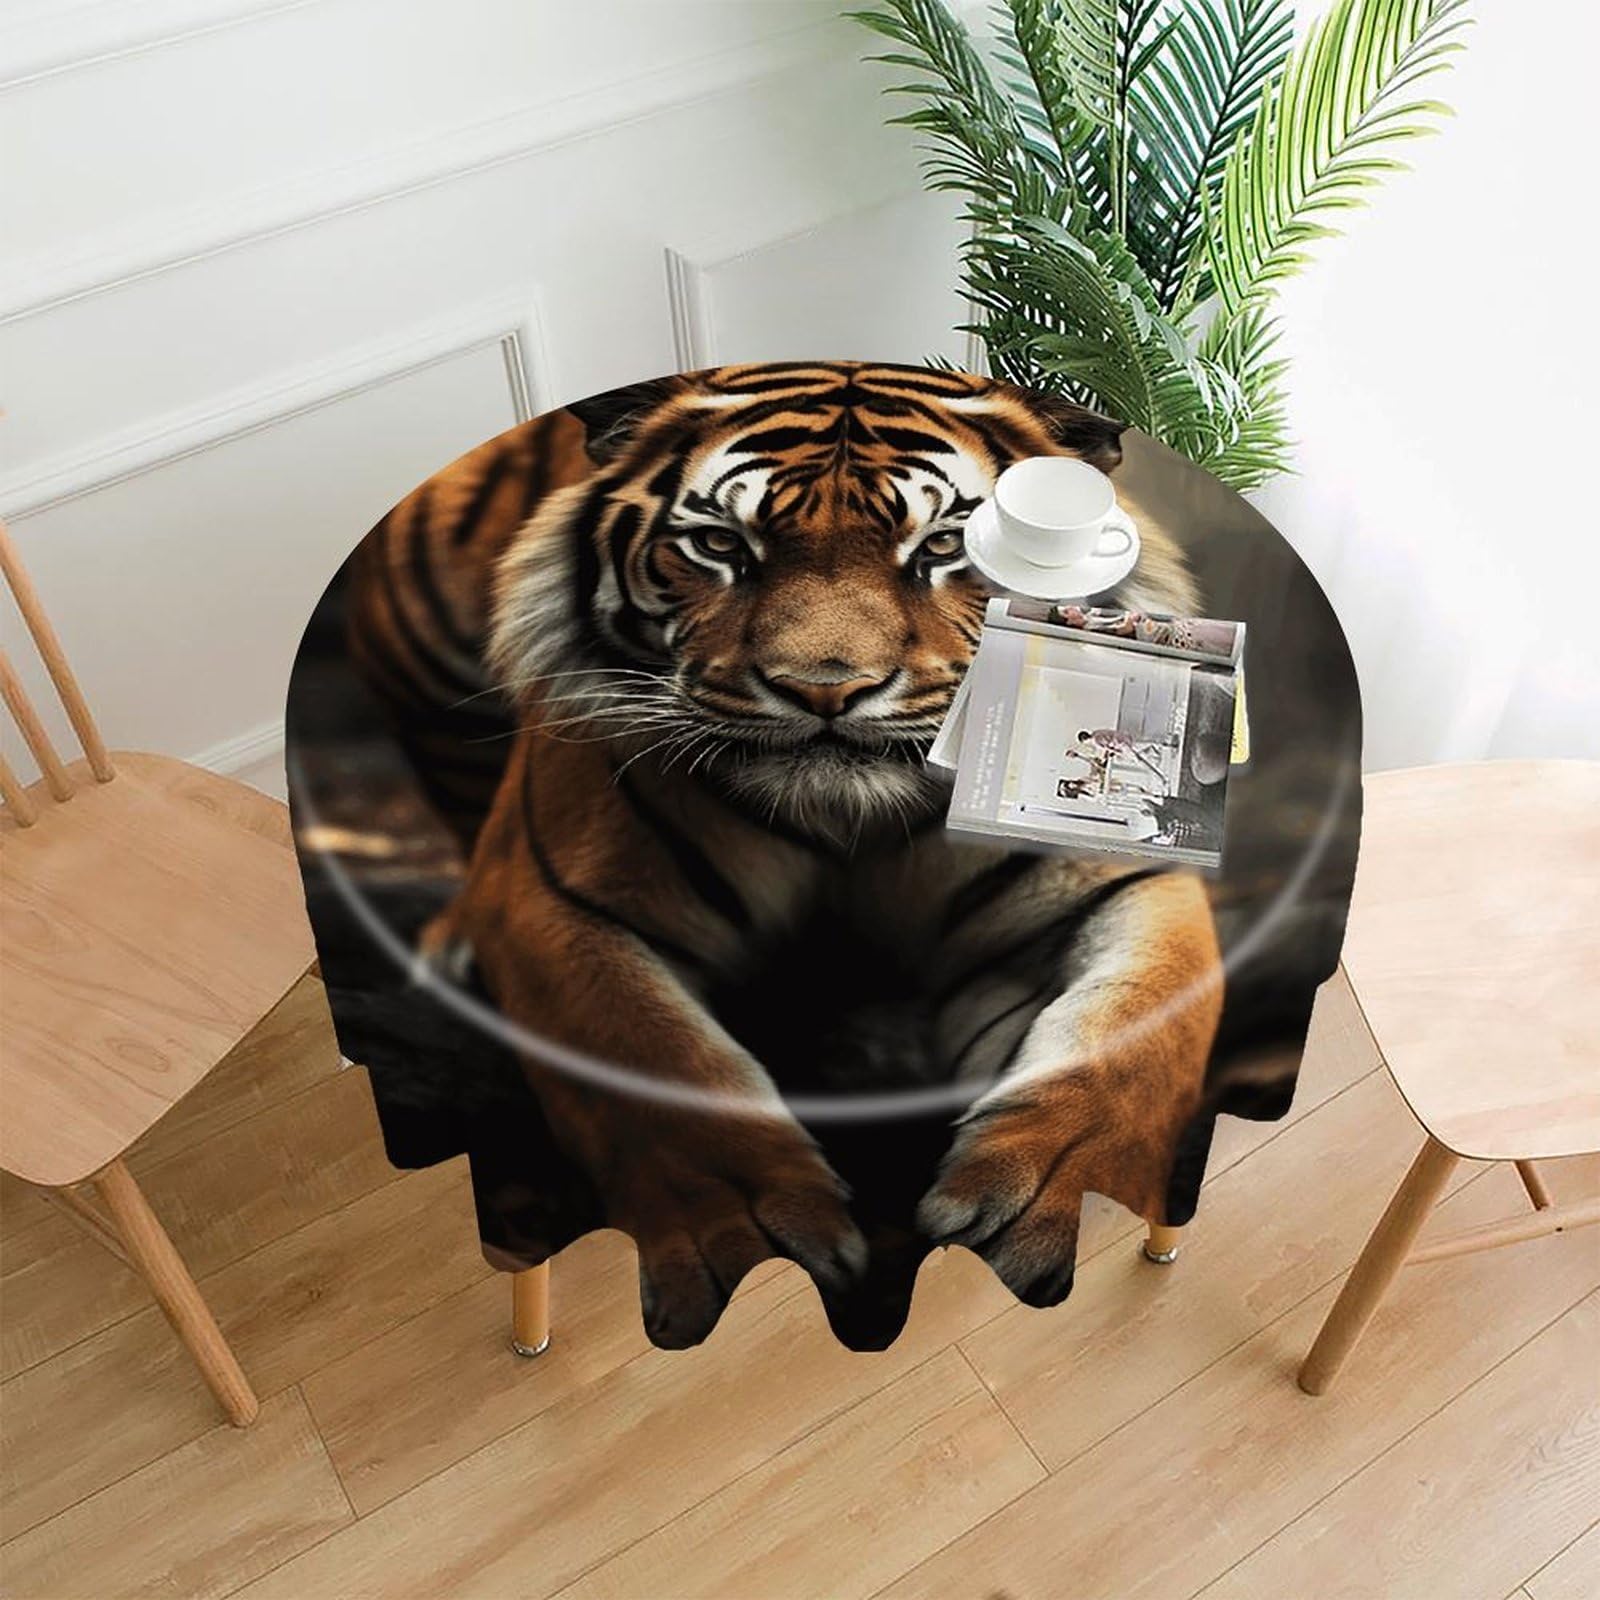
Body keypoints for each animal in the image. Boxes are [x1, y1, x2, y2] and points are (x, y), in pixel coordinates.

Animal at [346, 361, 1223, 1349]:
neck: (847, 824)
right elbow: (655, 1059)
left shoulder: (1111, 888)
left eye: (945, 544)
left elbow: (1140, 1024)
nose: (826, 690)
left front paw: (1033, 1194)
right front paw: (754, 1237)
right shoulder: (560, 903)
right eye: (721, 544)